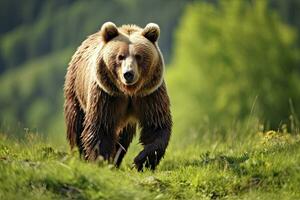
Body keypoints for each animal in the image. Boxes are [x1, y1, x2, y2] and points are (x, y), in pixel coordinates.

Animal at [63, 21, 171, 170]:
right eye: (120, 56)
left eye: (138, 56)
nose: (128, 74)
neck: (129, 91)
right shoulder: (107, 95)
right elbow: (101, 126)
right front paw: (102, 160)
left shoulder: (149, 94)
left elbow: (156, 125)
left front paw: (141, 161)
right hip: (76, 89)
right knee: (76, 124)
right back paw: (82, 155)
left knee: (123, 138)